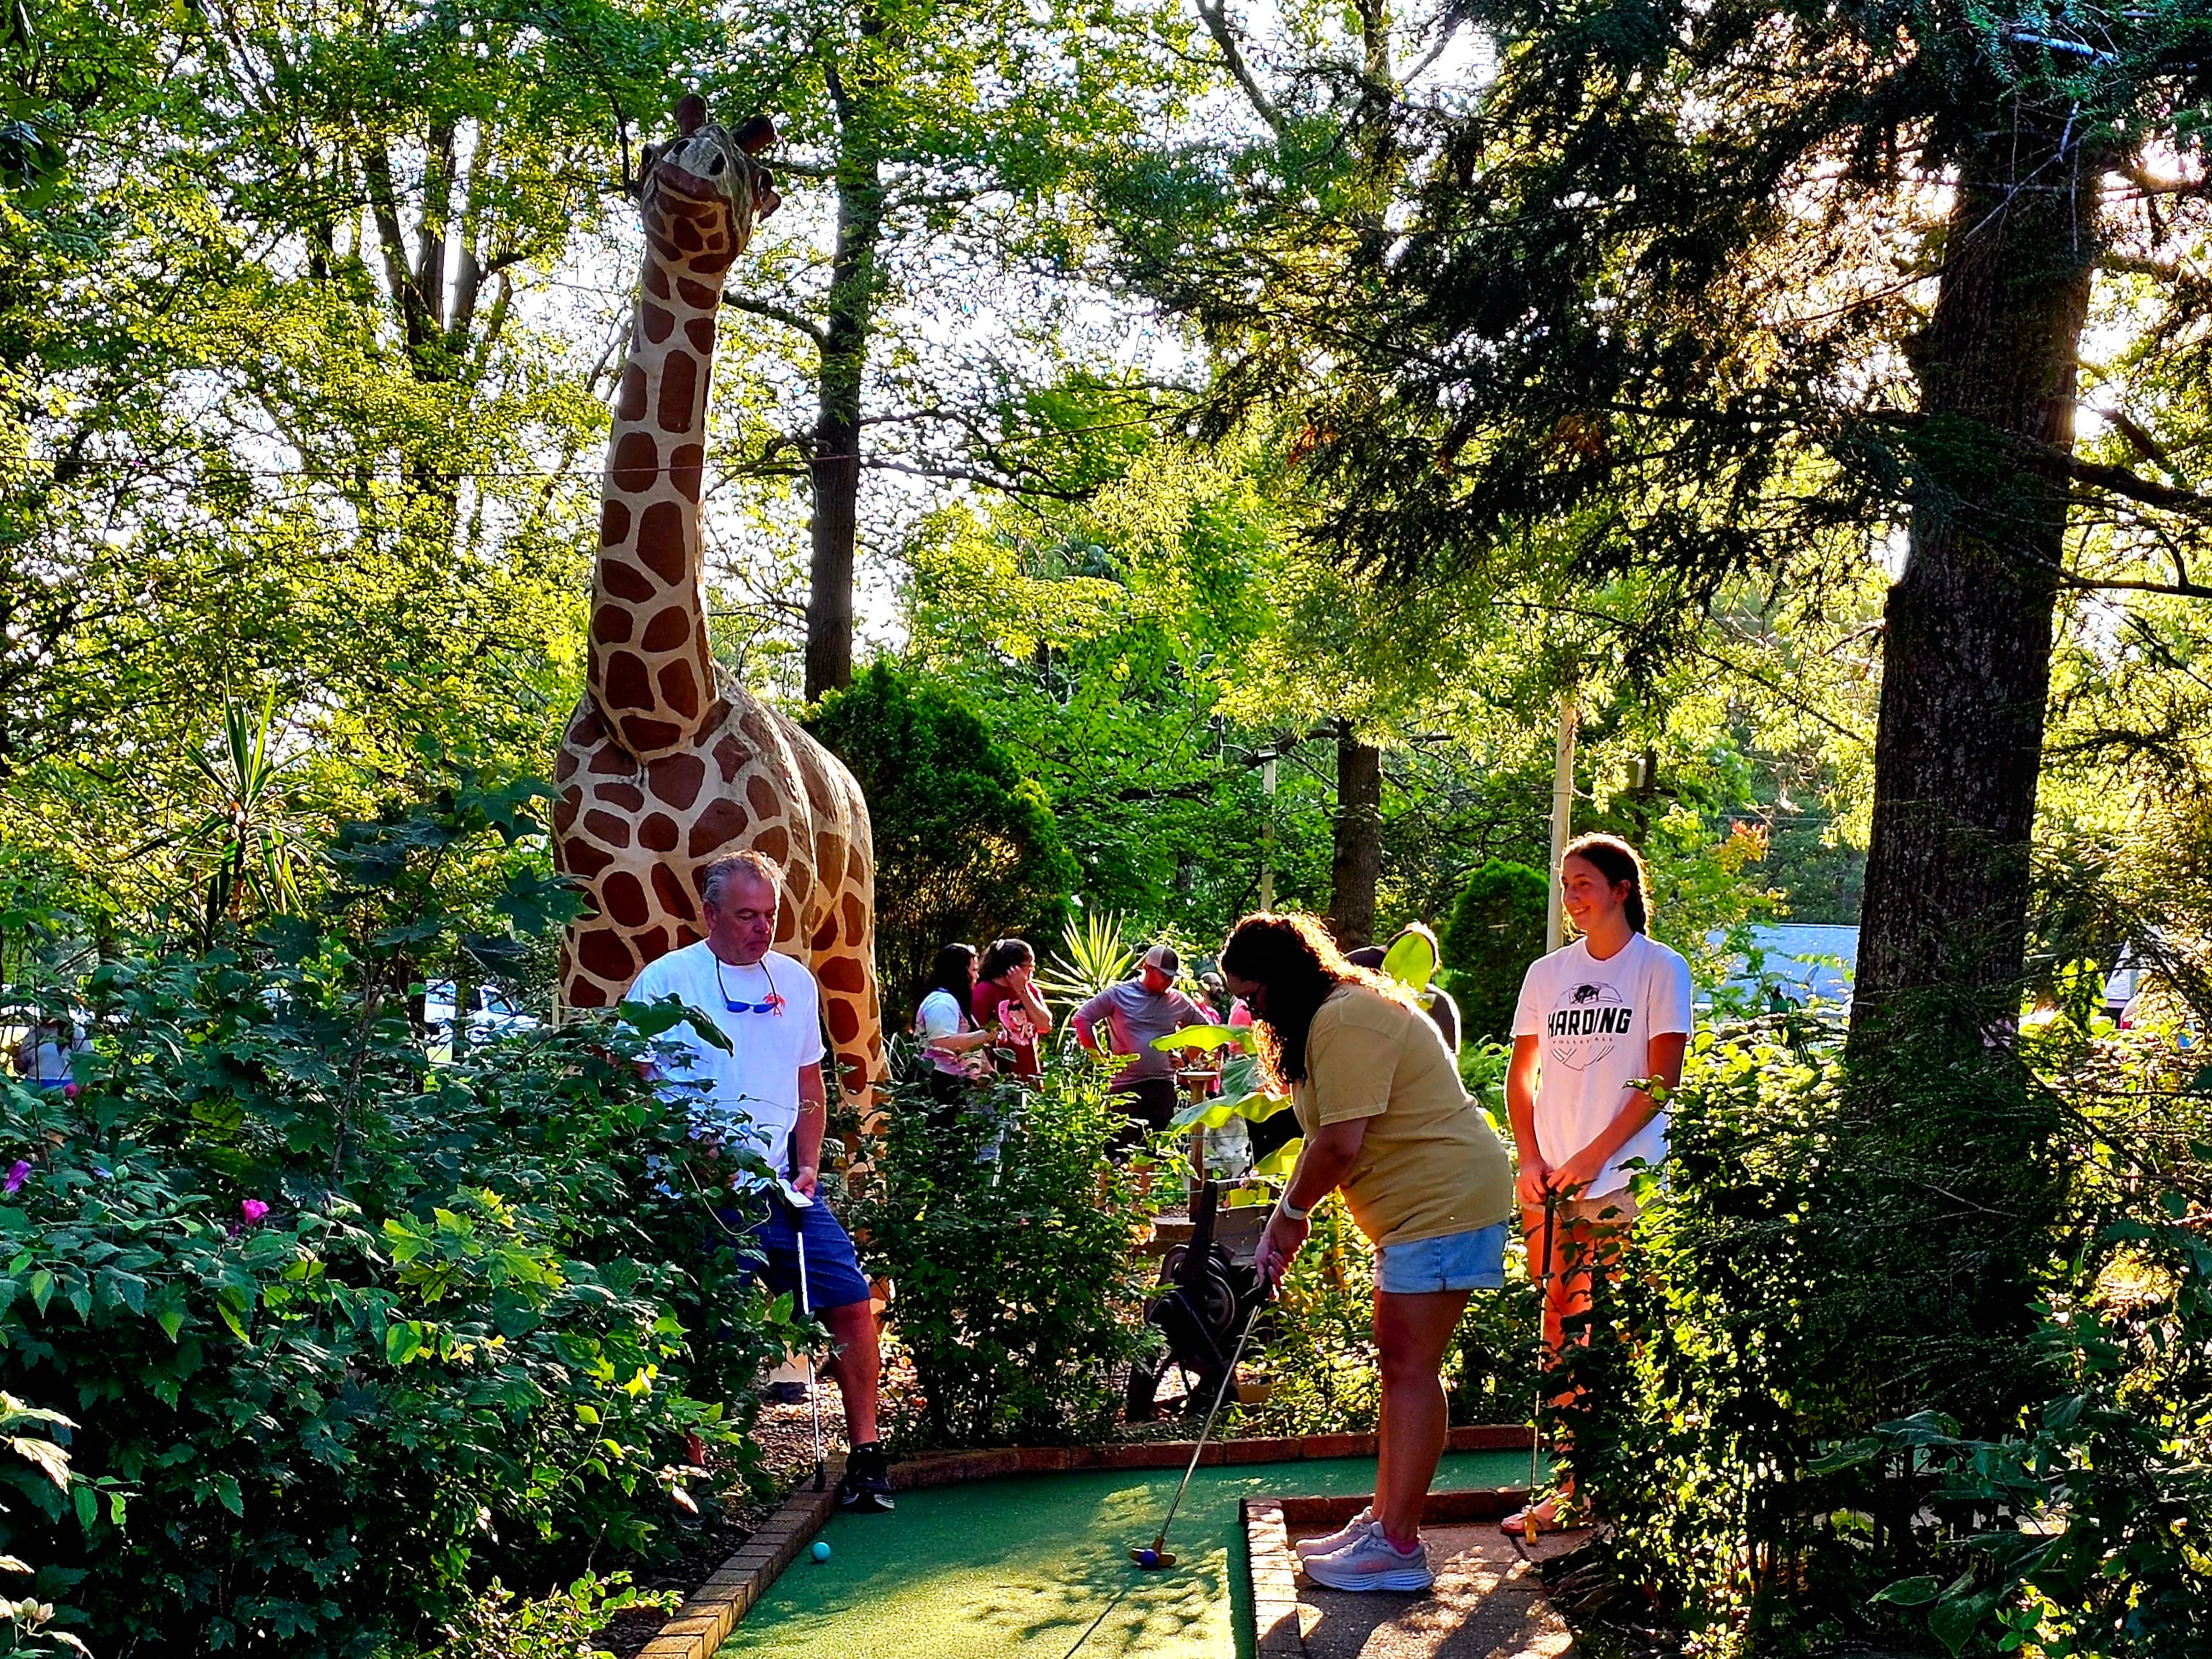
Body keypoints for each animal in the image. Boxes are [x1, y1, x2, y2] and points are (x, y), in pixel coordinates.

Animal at [553, 96, 885, 1117]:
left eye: (754, 173)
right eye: (662, 143)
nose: (689, 176)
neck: (654, 707)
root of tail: (850, 780)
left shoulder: (773, 924)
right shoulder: (590, 949)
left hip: (848, 936)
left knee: (872, 1089)